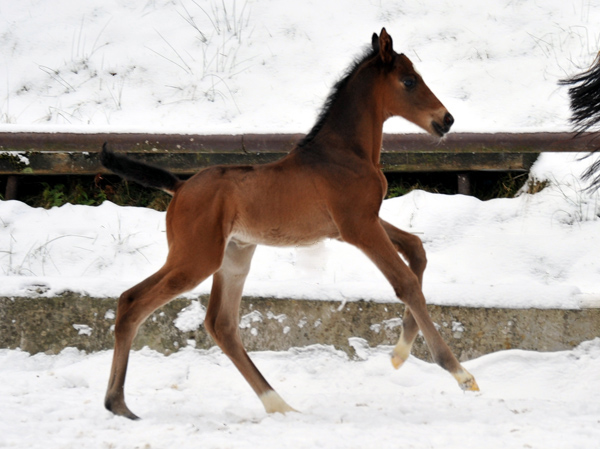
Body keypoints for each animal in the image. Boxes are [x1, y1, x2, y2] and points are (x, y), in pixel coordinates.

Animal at [102, 28, 478, 420]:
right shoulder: (358, 227)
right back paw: (118, 404)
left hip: (234, 256)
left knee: (220, 323)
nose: (446, 120)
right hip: (196, 259)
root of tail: (179, 186)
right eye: (408, 81)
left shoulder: (359, 223)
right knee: (132, 302)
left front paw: (399, 355)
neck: (346, 154)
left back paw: (278, 405)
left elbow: (417, 249)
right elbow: (405, 282)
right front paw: (460, 374)